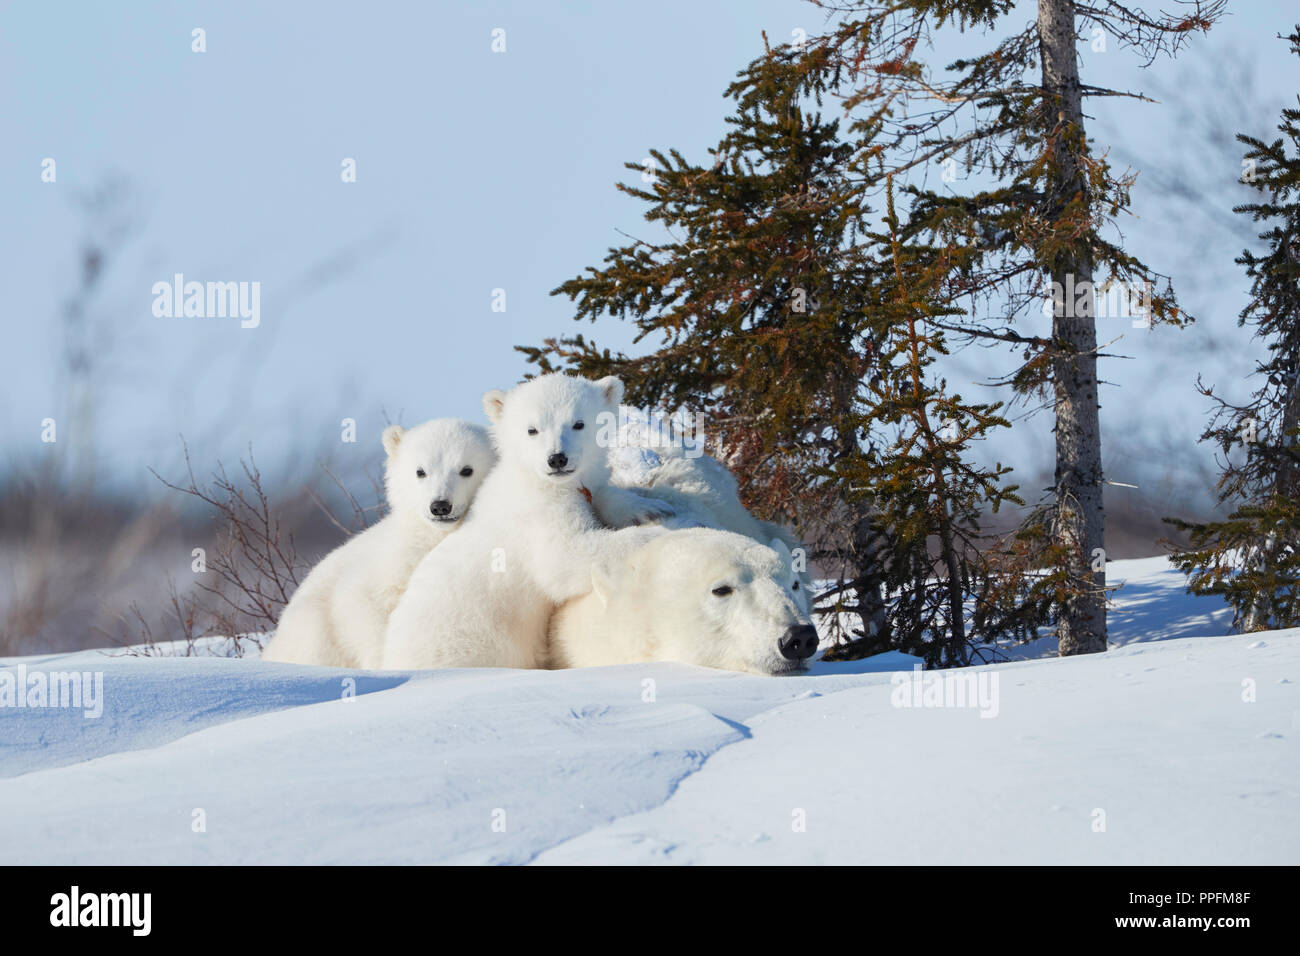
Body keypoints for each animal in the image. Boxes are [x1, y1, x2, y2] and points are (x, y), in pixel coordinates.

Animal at [261, 416, 493, 671]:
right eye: (420, 471)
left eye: (467, 469)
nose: (440, 506)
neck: (431, 538)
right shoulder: (385, 571)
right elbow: (364, 606)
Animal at [379, 374, 670, 671]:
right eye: (532, 430)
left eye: (579, 423)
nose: (557, 458)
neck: (534, 478)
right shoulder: (536, 513)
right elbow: (564, 557)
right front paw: (654, 533)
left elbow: (600, 494)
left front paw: (649, 508)